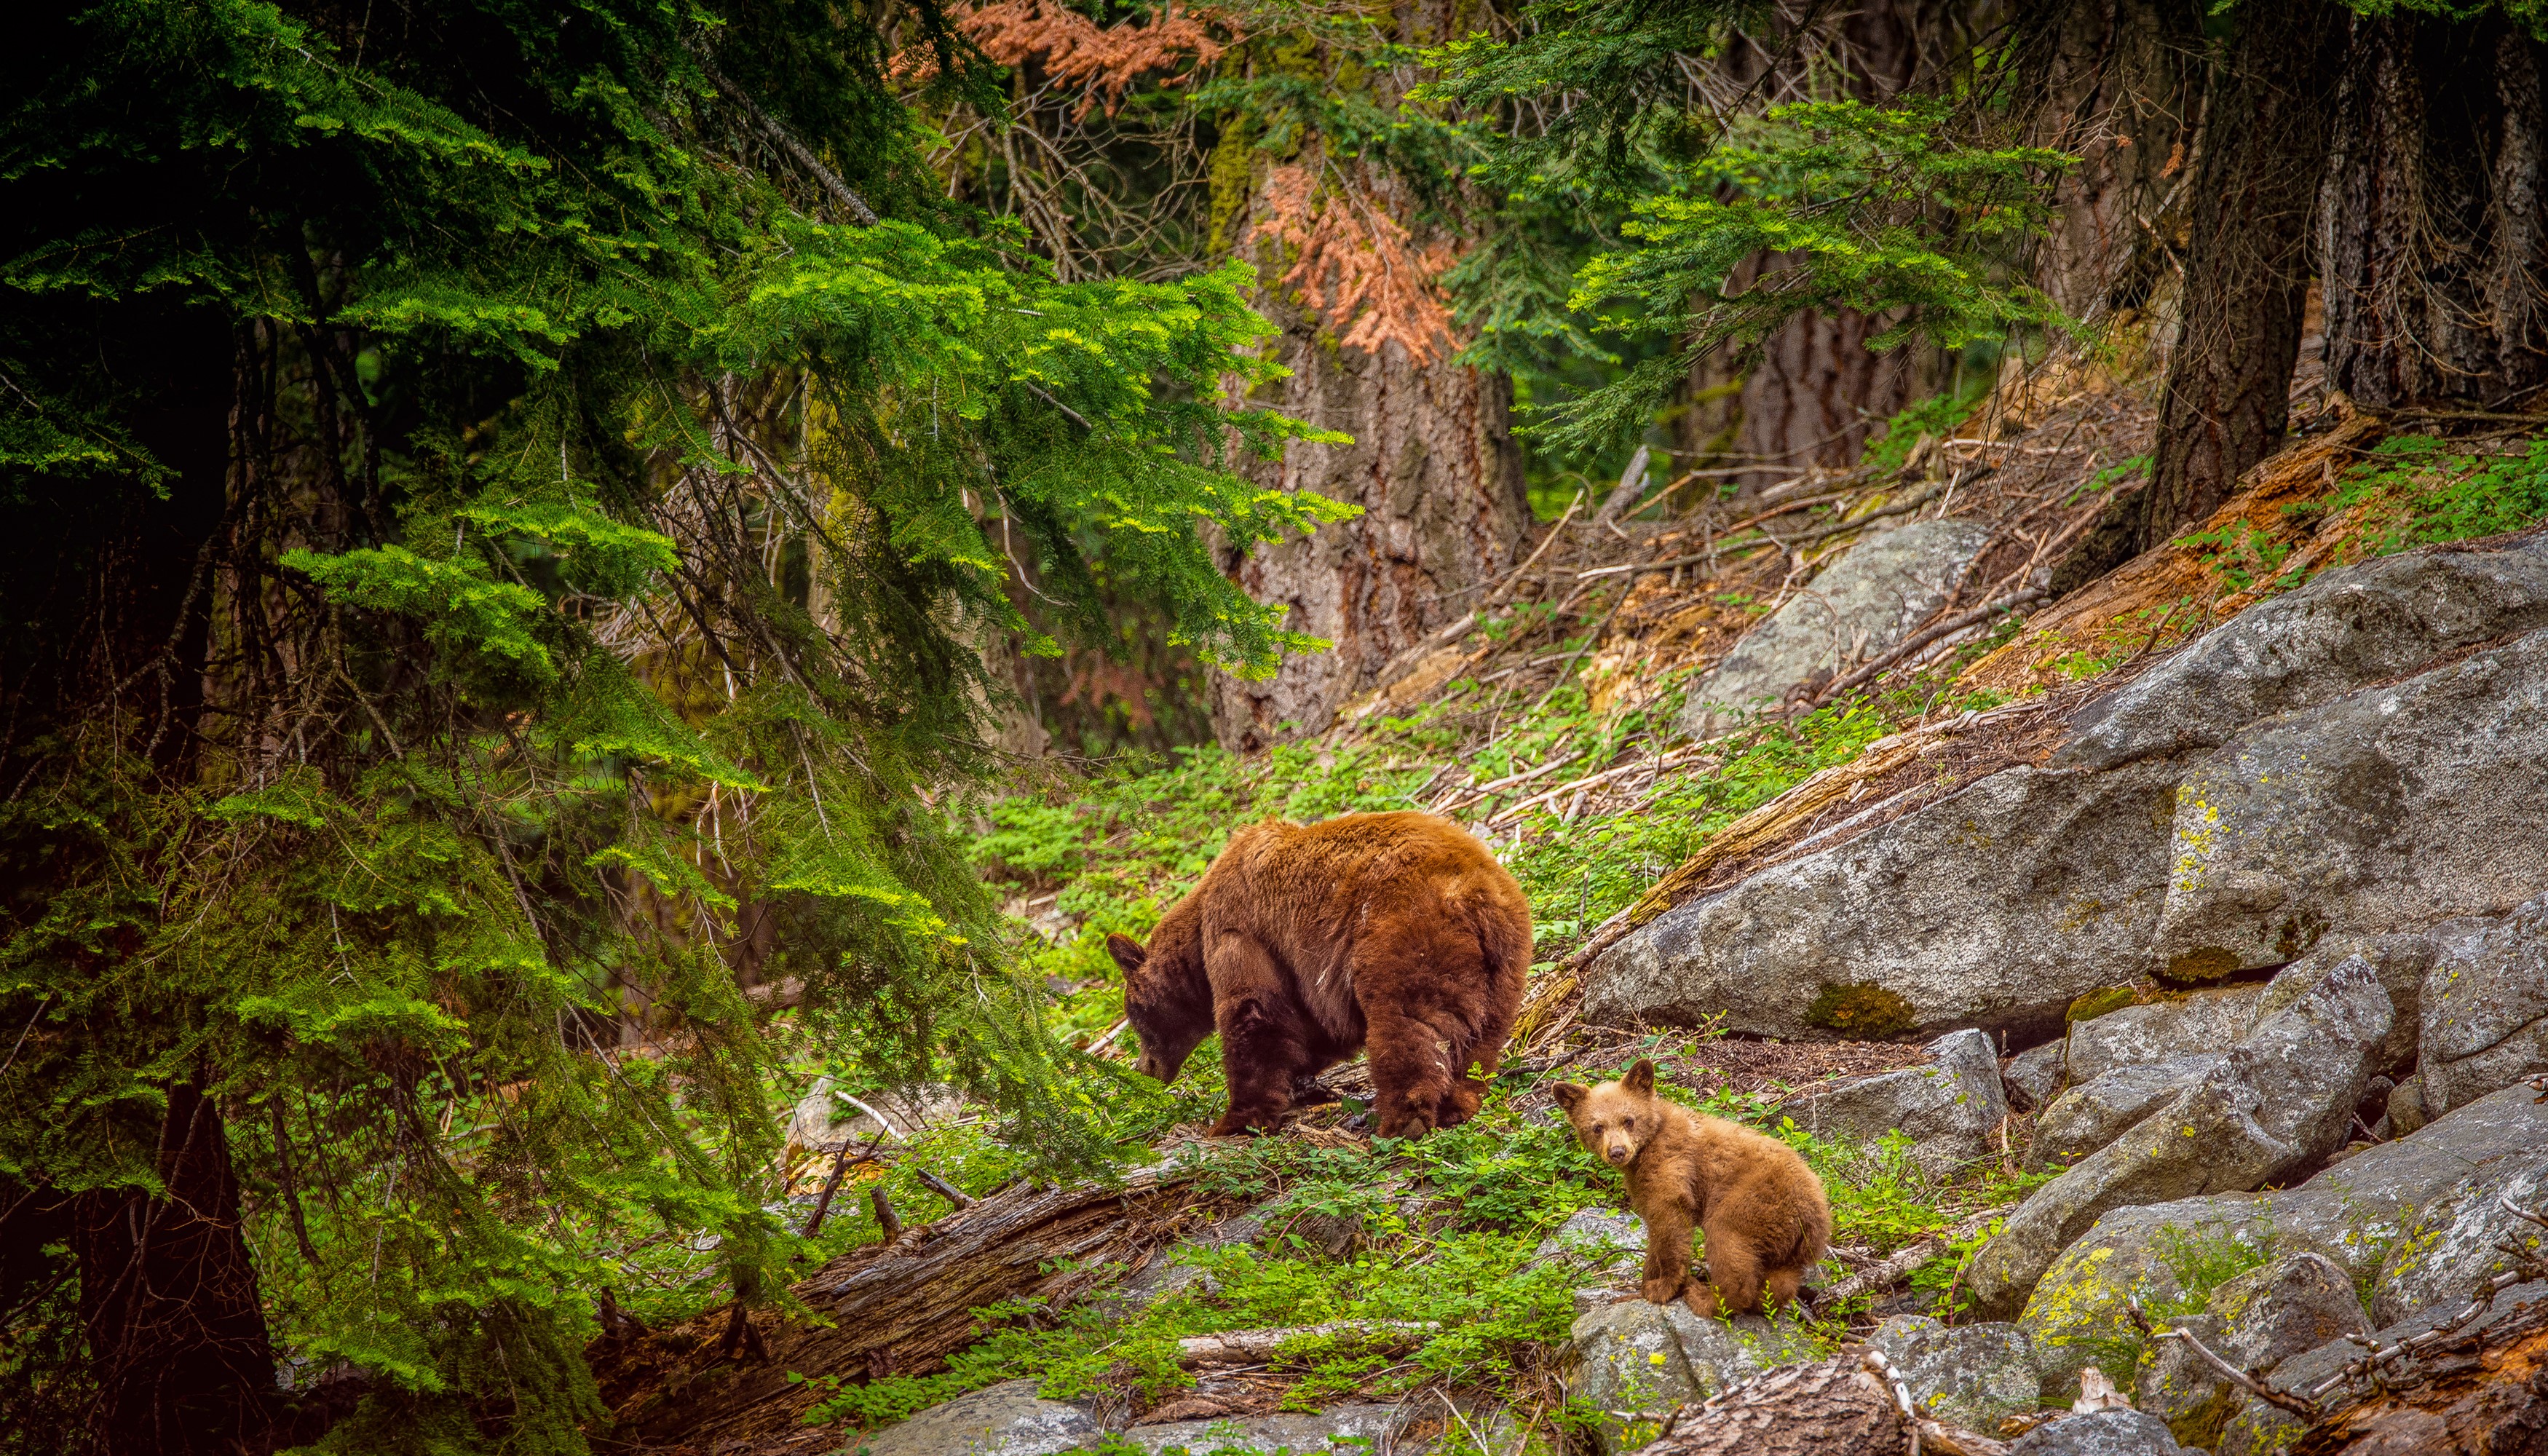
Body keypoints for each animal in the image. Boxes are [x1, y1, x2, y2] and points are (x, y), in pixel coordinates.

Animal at [1104, 810, 1532, 1139]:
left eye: (1133, 1017)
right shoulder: (1303, 974)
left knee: (1404, 1022)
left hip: (1403, 933)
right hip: (1505, 961)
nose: (1144, 1069)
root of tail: (1473, 891)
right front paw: (1304, 1085)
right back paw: (1459, 1102)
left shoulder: (1242, 932)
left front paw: (1234, 1121)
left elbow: (1253, 1012)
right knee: (1482, 1036)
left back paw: (1401, 1119)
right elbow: (1312, 1028)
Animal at [1550, 1060, 1830, 1317]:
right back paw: (1763, 1304)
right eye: (1597, 1127)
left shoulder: (1672, 1164)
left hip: (1751, 1202)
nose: (1617, 1152)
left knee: (1727, 1242)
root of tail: (1814, 1215)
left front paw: (1662, 1287)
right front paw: (1640, 1288)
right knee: (1782, 1280)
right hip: (1791, 1245)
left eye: (1628, 1120)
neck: (1648, 1145)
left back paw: (1706, 1298)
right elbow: (1655, 1230)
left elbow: (1670, 1222)